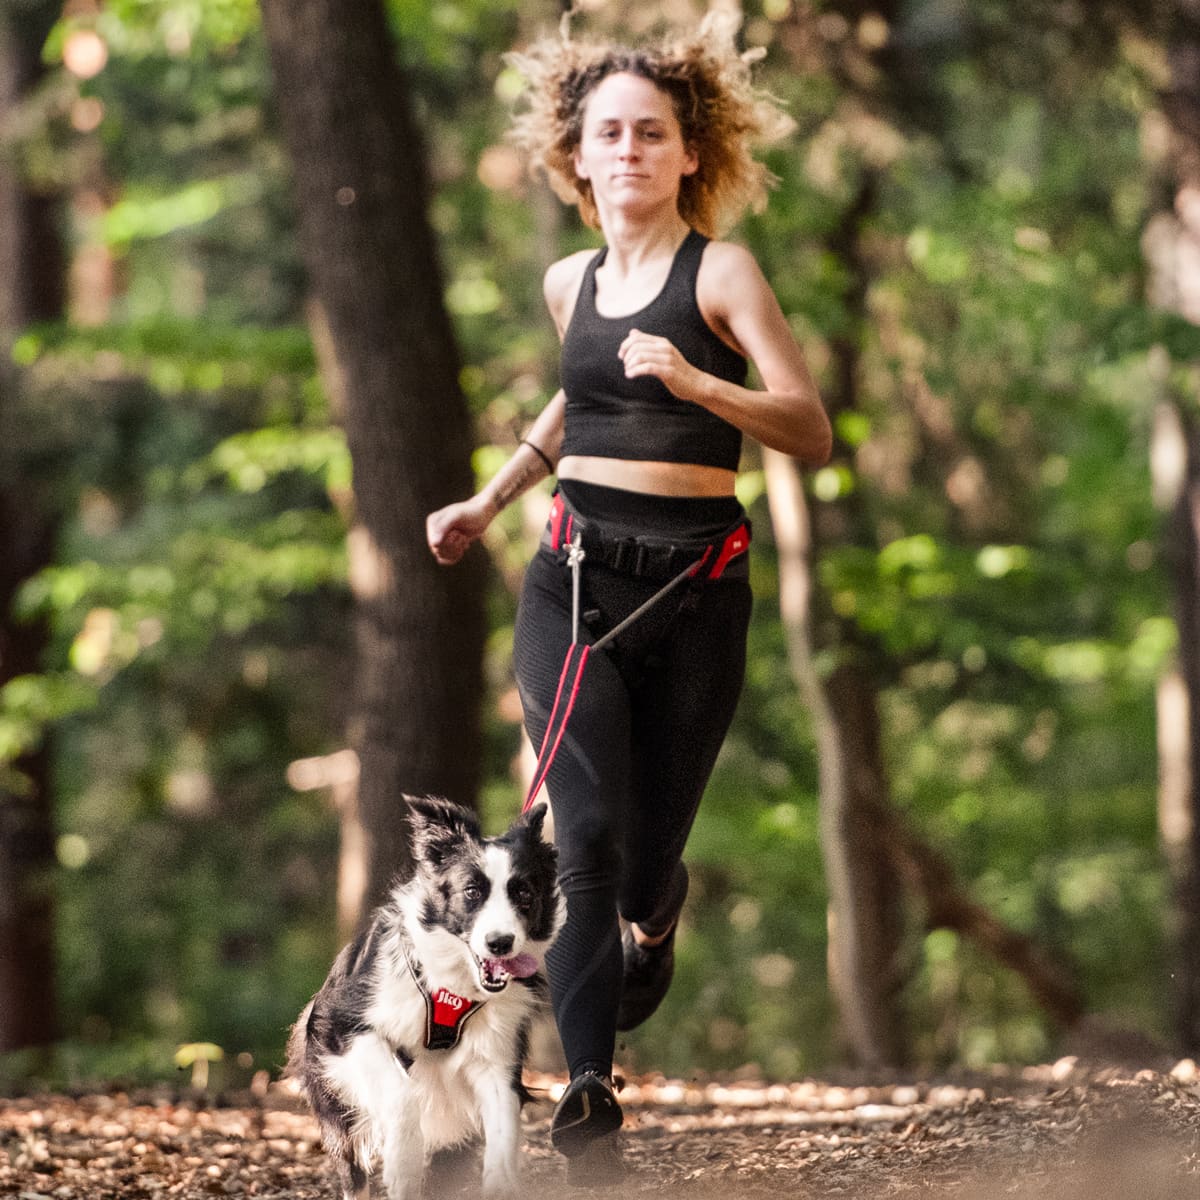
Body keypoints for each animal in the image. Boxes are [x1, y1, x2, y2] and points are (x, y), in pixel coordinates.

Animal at [291, 796, 566, 1200]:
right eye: (471, 892)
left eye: (524, 894)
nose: (500, 943)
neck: (454, 986)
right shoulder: (343, 1025)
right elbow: (401, 1094)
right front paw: (403, 1165)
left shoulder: (497, 1055)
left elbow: (503, 1130)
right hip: (336, 1100)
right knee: (352, 1166)